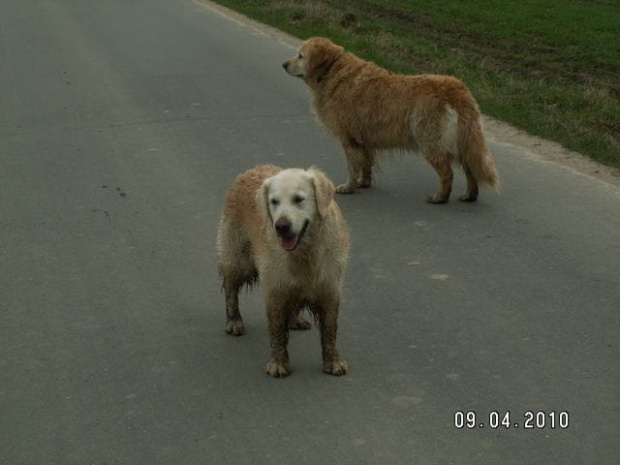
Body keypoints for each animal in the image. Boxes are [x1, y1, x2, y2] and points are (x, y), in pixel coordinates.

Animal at [216, 165, 348, 376]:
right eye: (274, 202)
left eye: (298, 199)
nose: (281, 226)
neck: (305, 252)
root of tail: (249, 171)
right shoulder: (275, 286)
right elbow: (277, 327)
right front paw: (278, 363)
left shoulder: (329, 286)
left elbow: (329, 328)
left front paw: (333, 361)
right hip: (239, 259)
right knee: (230, 288)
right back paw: (234, 321)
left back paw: (295, 320)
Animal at [284, 36, 502, 203]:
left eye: (301, 55)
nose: (284, 64)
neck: (331, 69)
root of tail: (456, 88)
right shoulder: (364, 140)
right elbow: (366, 164)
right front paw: (364, 183)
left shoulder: (349, 139)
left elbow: (353, 166)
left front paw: (349, 186)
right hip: (463, 141)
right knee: (470, 169)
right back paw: (469, 195)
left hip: (430, 140)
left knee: (447, 172)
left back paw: (440, 198)